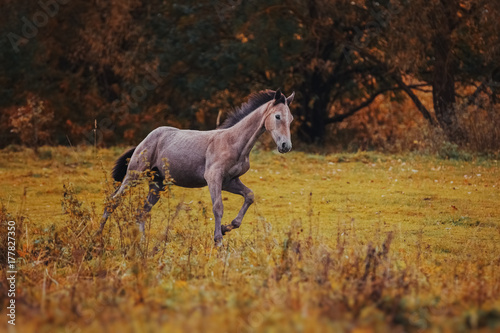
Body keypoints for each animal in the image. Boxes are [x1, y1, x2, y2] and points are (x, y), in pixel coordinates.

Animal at [97, 88, 292, 244]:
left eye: (290, 119)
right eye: (277, 116)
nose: (286, 146)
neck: (234, 143)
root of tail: (143, 141)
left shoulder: (229, 181)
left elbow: (249, 196)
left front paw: (227, 227)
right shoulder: (213, 178)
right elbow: (218, 207)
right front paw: (219, 240)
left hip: (157, 184)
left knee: (141, 212)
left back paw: (142, 244)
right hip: (134, 175)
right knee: (113, 201)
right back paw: (98, 237)